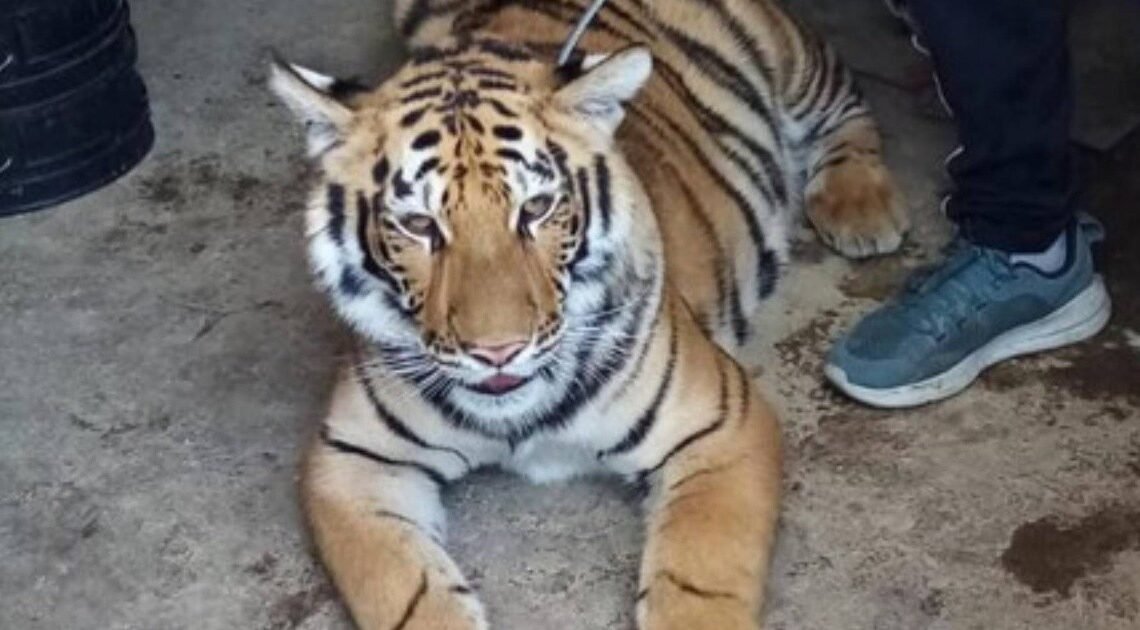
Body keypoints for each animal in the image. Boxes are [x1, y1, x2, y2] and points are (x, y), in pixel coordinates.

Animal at [269, 0, 906, 627]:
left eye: (536, 209)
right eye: (419, 225)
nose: (497, 351)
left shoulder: (721, 425)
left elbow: (698, 580)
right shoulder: (351, 462)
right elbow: (405, 591)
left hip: (792, 57)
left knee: (847, 103)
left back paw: (861, 209)